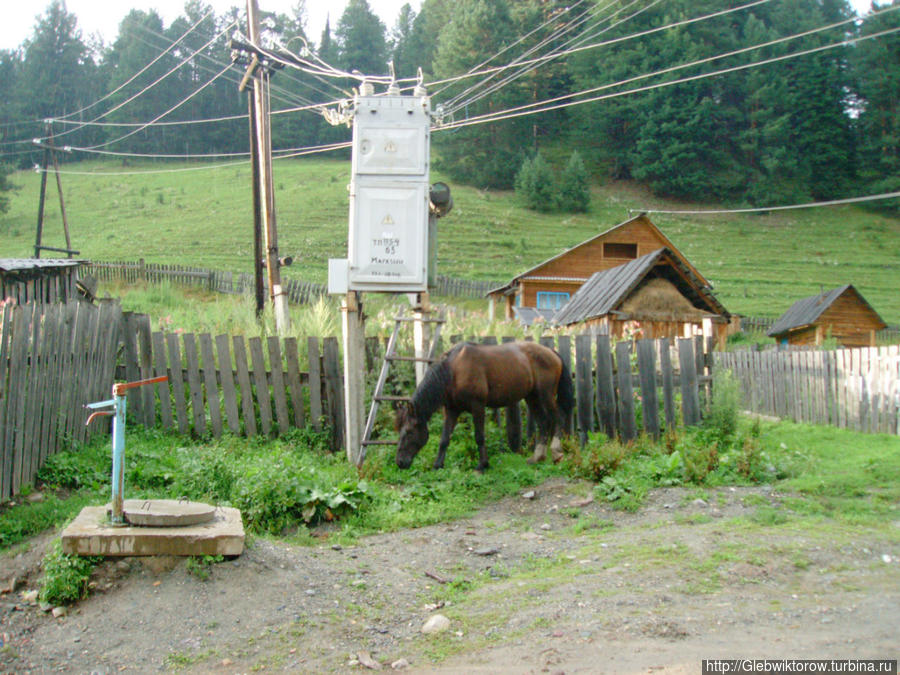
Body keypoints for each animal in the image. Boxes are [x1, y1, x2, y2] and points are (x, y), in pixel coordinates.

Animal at [396, 340, 576, 472]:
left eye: (409, 432)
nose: (400, 462)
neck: (454, 370)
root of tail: (551, 352)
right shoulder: (452, 410)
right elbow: (444, 438)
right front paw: (437, 465)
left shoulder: (478, 407)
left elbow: (479, 436)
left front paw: (482, 464)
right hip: (532, 398)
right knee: (543, 422)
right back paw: (537, 457)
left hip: (546, 395)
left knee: (558, 417)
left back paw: (556, 452)